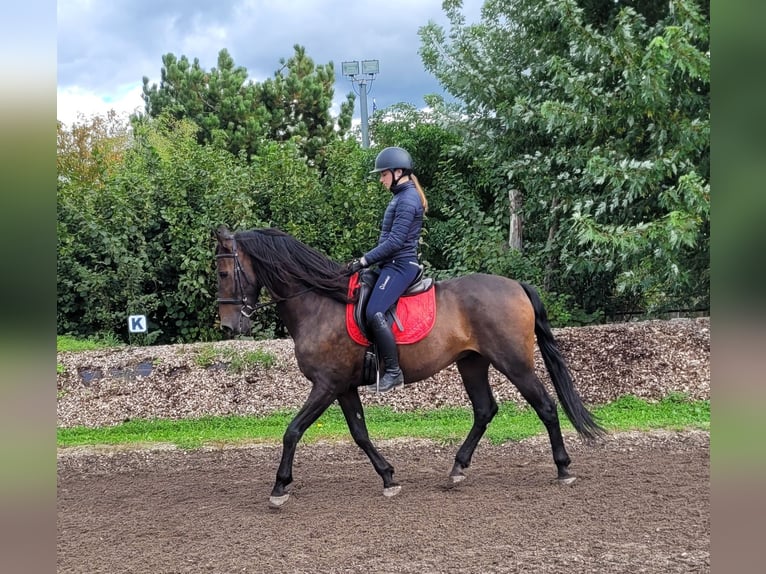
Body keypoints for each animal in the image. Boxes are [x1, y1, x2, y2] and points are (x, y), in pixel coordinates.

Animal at [214, 226, 608, 508]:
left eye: (222, 273)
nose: (229, 327)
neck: (320, 304)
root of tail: (517, 286)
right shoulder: (342, 387)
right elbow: (360, 433)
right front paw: (389, 477)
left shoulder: (326, 385)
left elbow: (292, 431)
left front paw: (279, 487)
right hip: (472, 363)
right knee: (484, 410)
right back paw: (457, 469)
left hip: (514, 363)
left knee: (545, 406)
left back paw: (563, 468)